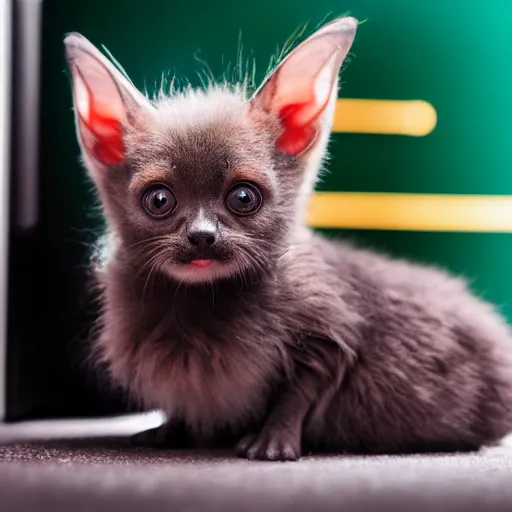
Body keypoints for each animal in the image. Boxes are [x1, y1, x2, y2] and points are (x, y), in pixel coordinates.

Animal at [63, 18, 512, 462]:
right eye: (159, 200)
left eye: (243, 197)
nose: (202, 235)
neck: (201, 302)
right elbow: (185, 402)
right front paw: (172, 430)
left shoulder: (328, 331)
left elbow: (297, 393)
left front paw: (271, 443)